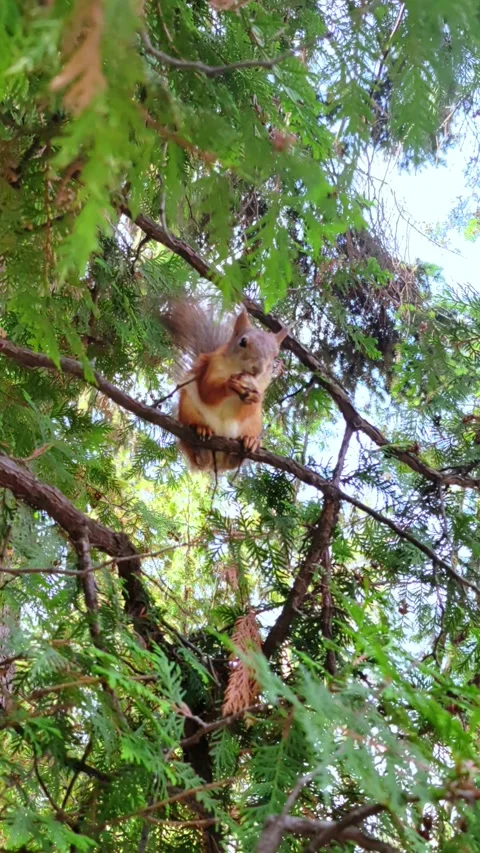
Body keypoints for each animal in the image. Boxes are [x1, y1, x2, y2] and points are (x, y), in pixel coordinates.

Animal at [161, 299, 287, 472]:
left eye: (275, 356)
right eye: (243, 342)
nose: (258, 369)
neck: (236, 370)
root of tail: (217, 459)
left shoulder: (262, 384)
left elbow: (250, 406)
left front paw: (256, 397)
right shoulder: (213, 366)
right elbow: (207, 391)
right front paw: (229, 385)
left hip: (254, 424)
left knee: (234, 459)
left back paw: (248, 442)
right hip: (188, 408)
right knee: (195, 447)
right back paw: (200, 433)